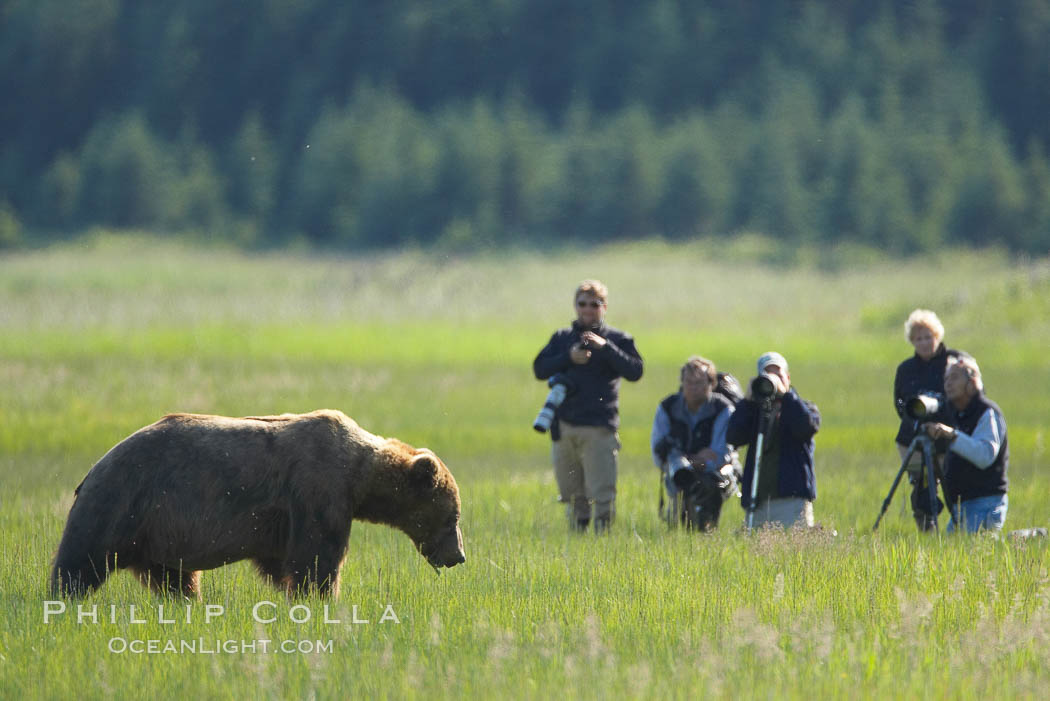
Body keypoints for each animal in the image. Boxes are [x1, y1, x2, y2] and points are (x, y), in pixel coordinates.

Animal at [51, 411, 464, 596]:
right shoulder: (320, 490)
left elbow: (280, 562)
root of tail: (93, 469)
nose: (458, 556)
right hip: (122, 503)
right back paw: (64, 597)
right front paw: (322, 597)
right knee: (80, 561)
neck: (360, 476)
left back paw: (188, 601)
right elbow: (317, 557)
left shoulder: (285, 520)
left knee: (174, 578)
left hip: (157, 534)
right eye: (453, 516)